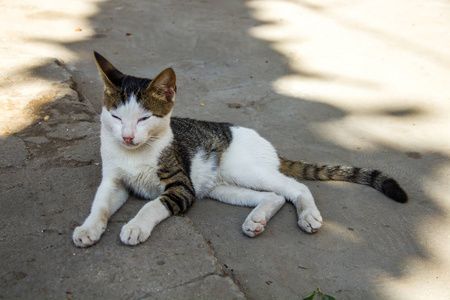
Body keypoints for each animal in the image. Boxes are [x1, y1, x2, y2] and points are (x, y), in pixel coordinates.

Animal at [72, 52, 410, 248]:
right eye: (116, 117)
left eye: (144, 118)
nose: (128, 137)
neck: (135, 154)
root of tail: (268, 146)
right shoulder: (114, 180)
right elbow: (100, 204)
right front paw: (89, 228)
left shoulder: (182, 186)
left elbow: (152, 205)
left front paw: (135, 226)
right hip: (221, 185)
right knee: (273, 195)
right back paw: (257, 219)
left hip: (241, 169)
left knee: (295, 186)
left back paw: (308, 215)